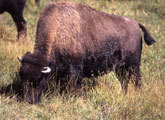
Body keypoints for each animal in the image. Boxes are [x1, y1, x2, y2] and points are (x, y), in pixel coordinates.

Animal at [17, 1, 155, 103]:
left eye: (38, 79)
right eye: (22, 78)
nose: (29, 101)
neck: (58, 31)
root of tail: (136, 24)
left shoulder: (75, 70)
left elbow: (75, 85)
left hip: (133, 65)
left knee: (137, 81)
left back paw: (137, 94)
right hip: (120, 68)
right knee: (124, 81)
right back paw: (124, 95)